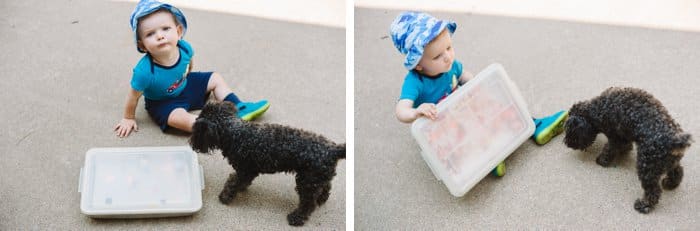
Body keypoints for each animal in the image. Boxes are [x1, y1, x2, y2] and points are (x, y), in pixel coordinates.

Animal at [190, 101, 346, 226]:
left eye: (196, 130)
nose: (191, 144)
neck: (235, 133)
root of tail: (333, 149)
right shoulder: (248, 171)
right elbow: (239, 182)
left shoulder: (244, 170)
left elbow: (232, 182)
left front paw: (225, 196)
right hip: (316, 179)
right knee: (326, 187)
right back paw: (321, 199)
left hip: (306, 182)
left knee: (308, 204)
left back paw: (296, 218)